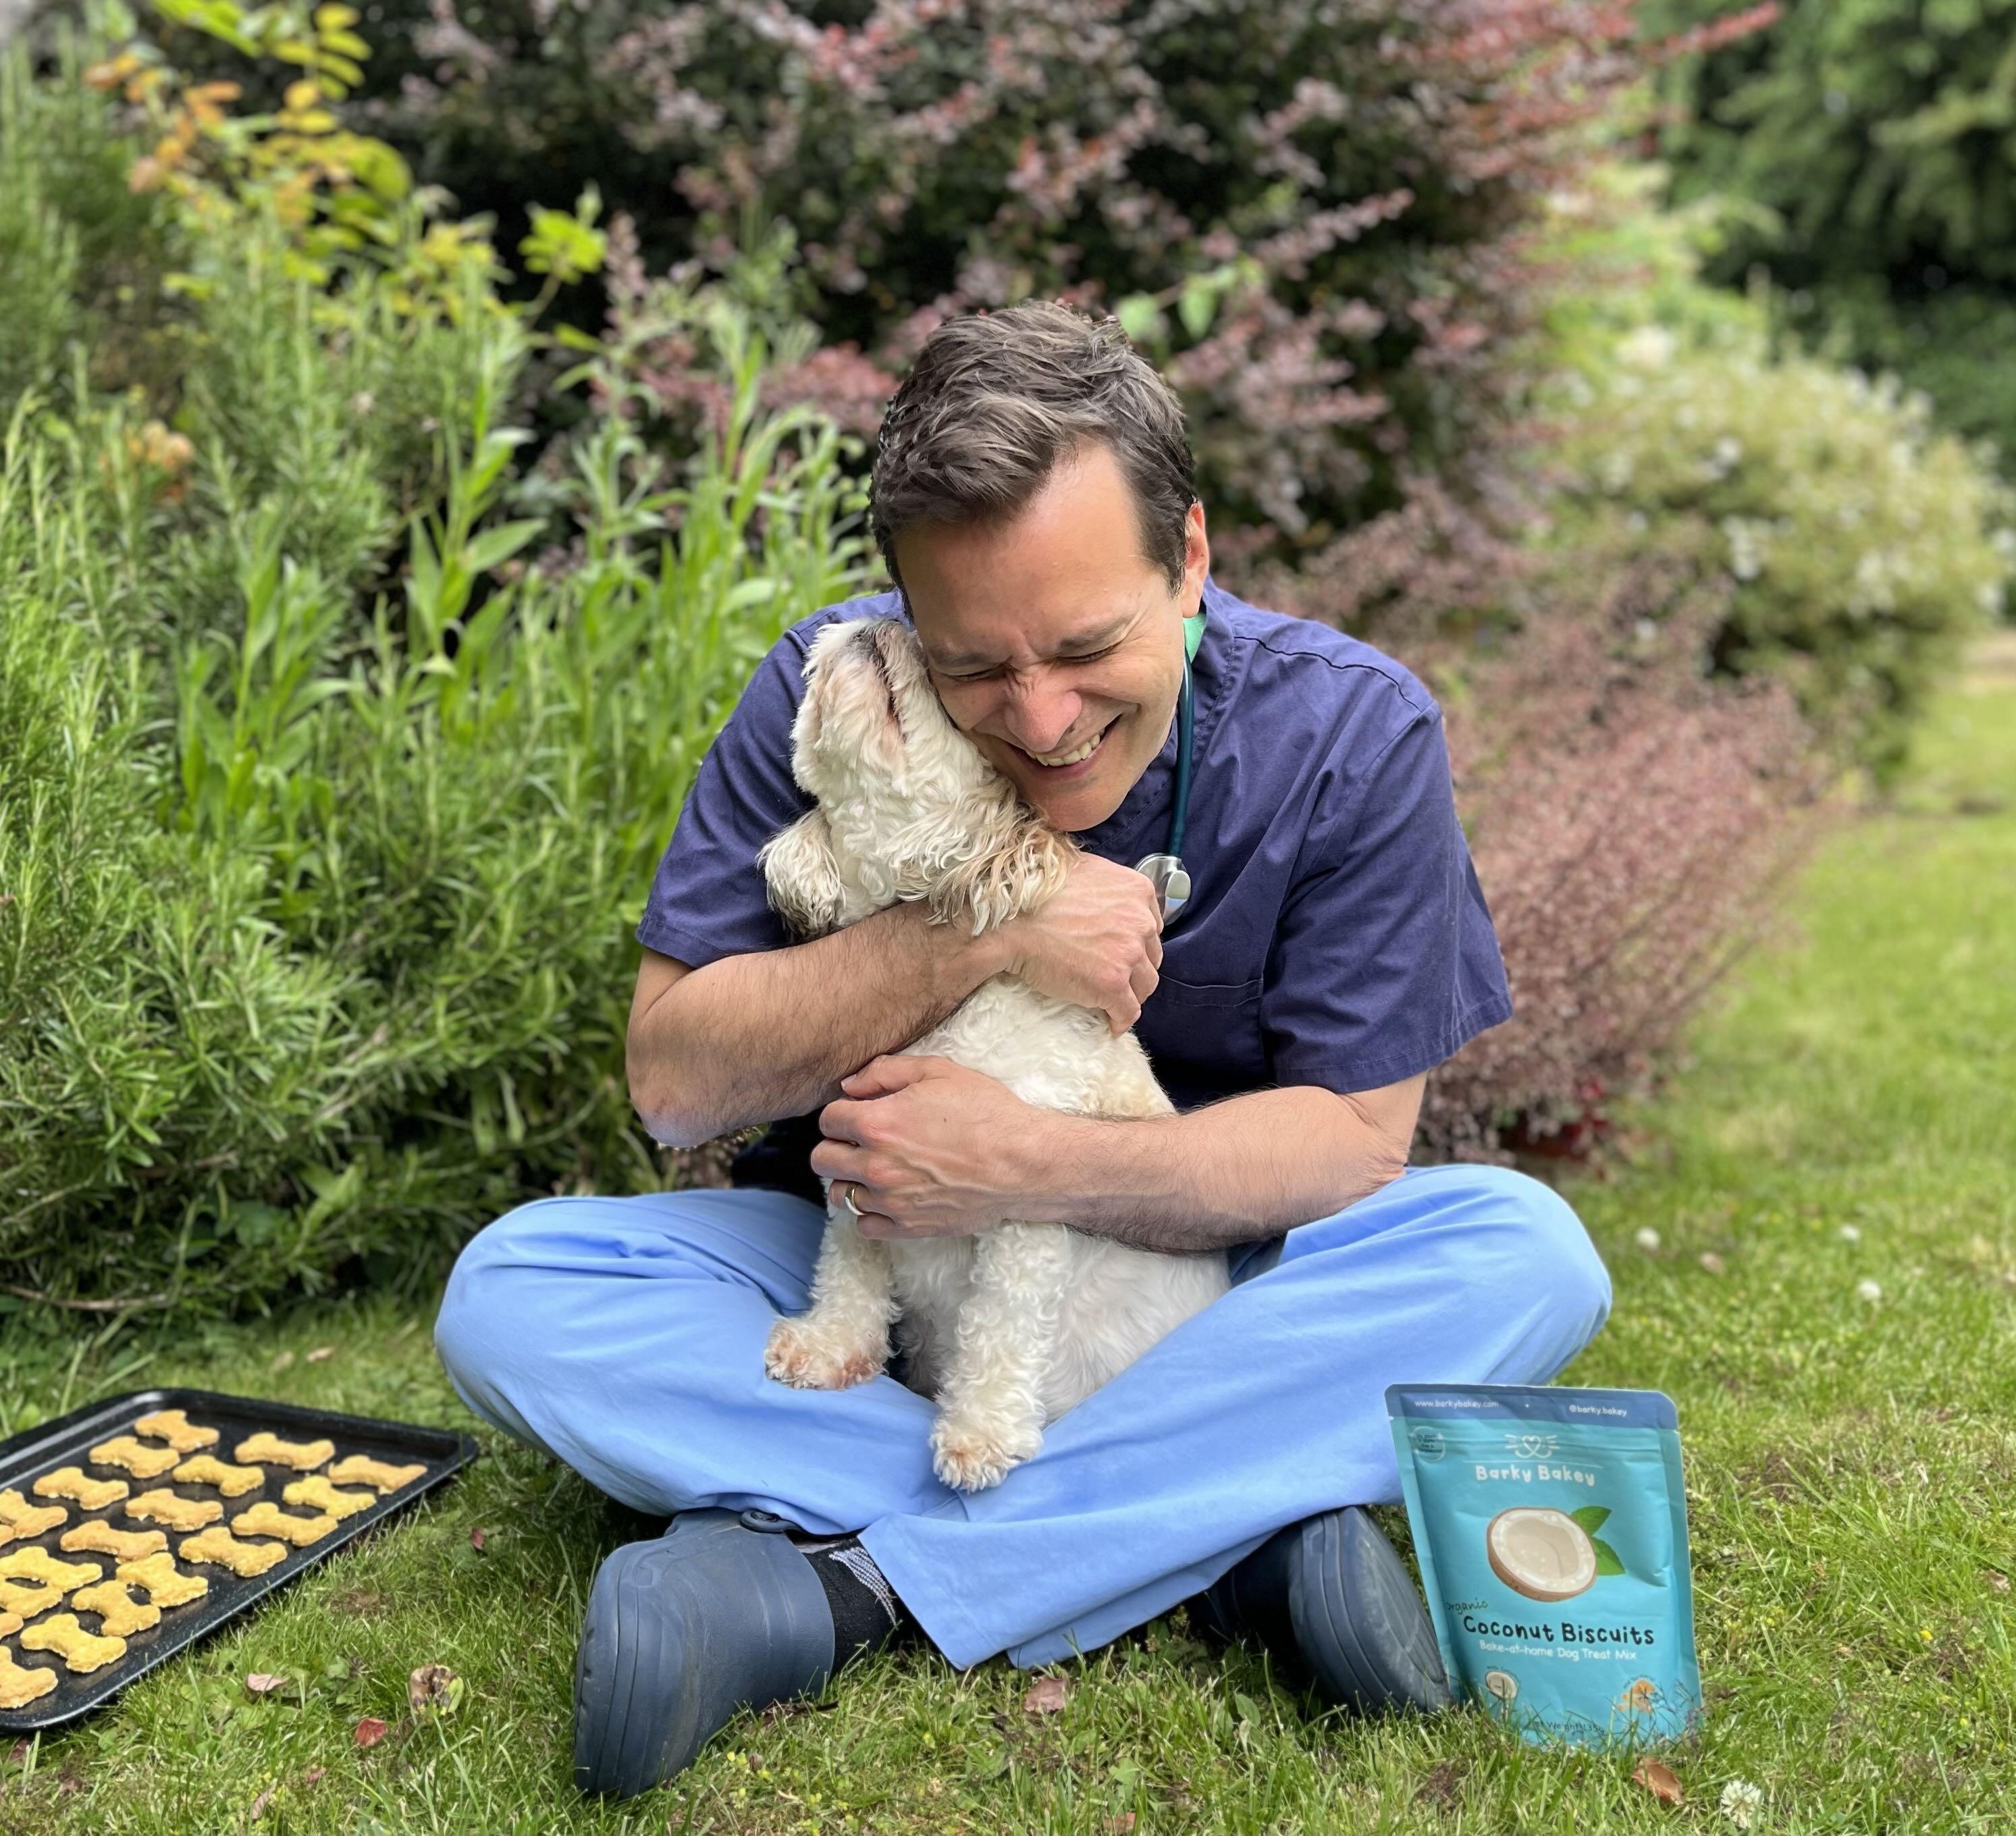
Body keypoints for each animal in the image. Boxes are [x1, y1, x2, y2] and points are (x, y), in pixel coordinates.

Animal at [758, 617, 1225, 1491]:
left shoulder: (1021, 1198)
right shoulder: (857, 1161)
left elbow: (1000, 1323)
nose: (879, 620)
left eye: (944, 685)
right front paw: (831, 1346)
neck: (948, 1023)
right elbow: (848, 1267)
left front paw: (978, 1434)